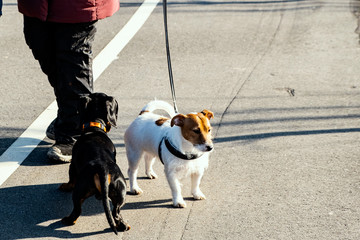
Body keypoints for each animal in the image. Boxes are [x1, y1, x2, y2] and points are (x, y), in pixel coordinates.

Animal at [59, 92, 130, 234]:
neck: (94, 127)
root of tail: (102, 169)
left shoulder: (72, 166)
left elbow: (71, 179)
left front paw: (66, 186)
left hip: (80, 190)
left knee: (77, 210)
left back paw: (69, 220)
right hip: (120, 192)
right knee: (116, 212)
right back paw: (123, 225)